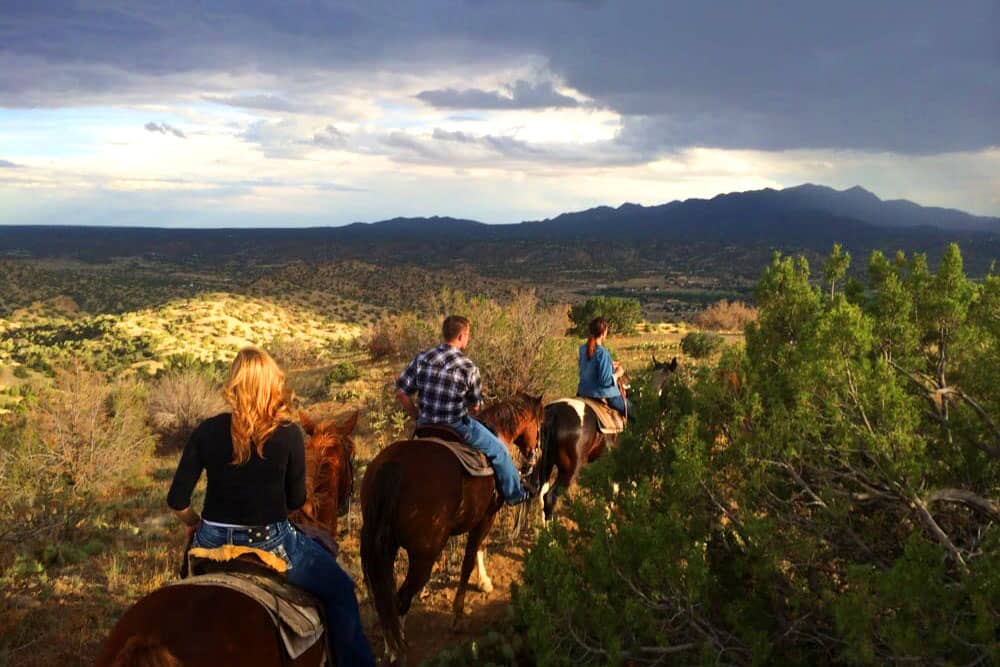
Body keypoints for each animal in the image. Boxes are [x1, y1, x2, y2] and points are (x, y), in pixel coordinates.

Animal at [362, 394, 544, 664]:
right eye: (540, 424)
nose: (534, 457)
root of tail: (392, 468)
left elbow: (477, 549)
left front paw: (485, 582)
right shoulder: (486, 516)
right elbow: (469, 559)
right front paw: (458, 615)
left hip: (384, 547)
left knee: (386, 600)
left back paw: (390, 647)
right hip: (424, 557)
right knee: (401, 600)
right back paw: (399, 651)